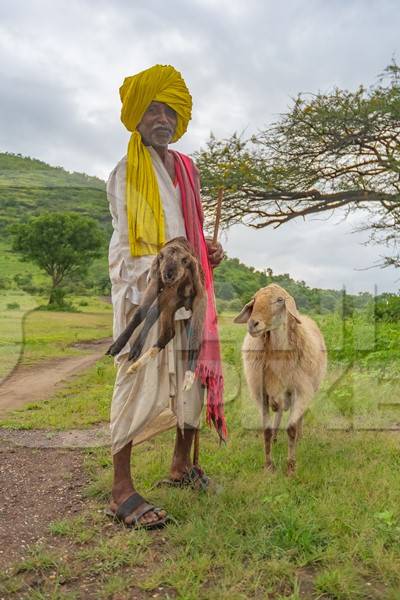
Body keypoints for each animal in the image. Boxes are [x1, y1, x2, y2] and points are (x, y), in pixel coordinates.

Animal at [233, 284, 326, 476]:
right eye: (254, 300)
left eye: (279, 300)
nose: (252, 324)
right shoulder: (262, 394)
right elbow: (266, 431)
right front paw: (269, 465)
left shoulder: (300, 391)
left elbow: (291, 428)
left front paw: (290, 467)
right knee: (279, 412)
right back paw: (276, 437)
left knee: (297, 417)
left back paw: (299, 437)